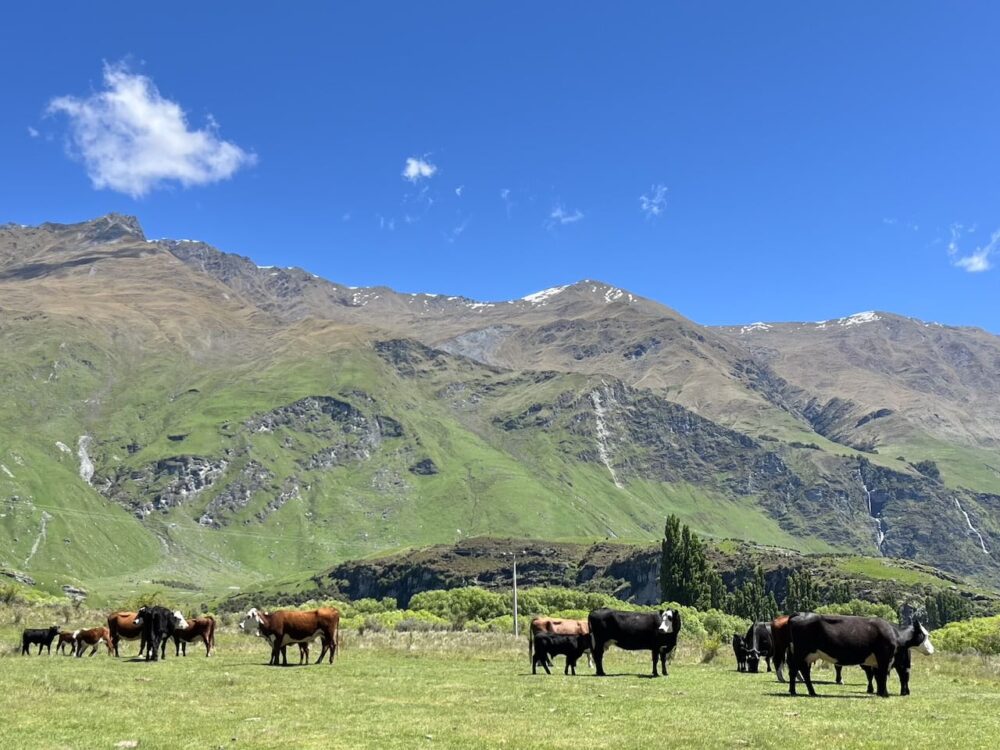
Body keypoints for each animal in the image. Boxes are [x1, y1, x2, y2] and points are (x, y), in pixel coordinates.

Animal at [788, 612, 936, 704]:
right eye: (925, 635)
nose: (932, 650)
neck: (894, 633)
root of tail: (800, 614)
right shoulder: (884, 658)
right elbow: (882, 676)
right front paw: (885, 694)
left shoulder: (876, 662)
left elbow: (878, 677)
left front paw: (879, 692)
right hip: (801, 653)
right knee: (798, 671)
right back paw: (804, 691)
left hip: (804, 655)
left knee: (798, 671)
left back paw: (801, 691)